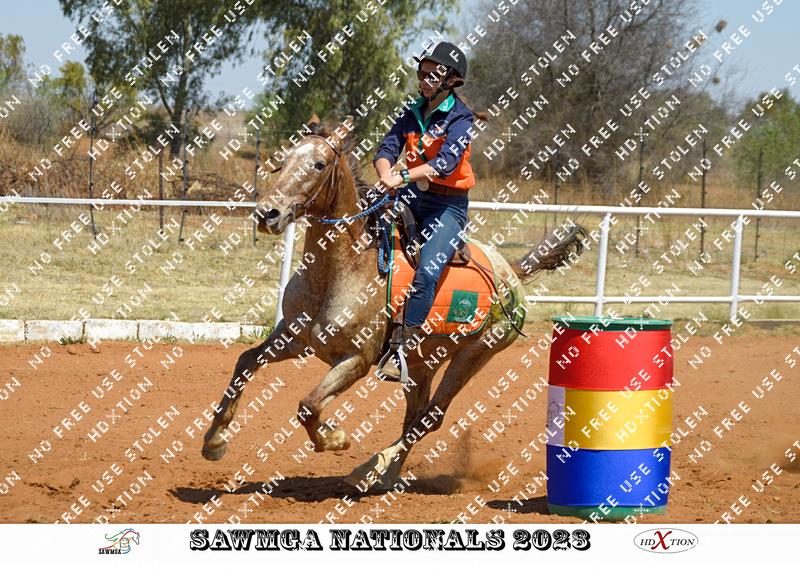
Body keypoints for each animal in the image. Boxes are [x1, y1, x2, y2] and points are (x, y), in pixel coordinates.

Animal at [201, 114, 587, 491]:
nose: (268, 214)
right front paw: (215, 440)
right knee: (415, 416)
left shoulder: (356, 359)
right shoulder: (295, 338)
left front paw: (337, 440)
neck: (342, 269)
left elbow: (308, 406)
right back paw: (386, 475)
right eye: (282, 163)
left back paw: (370, 469)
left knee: (431, 417)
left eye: (318, 164)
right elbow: (245, 362)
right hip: (421, 363)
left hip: (473, 355)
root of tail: (509, 270)